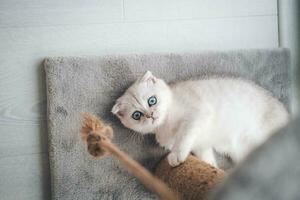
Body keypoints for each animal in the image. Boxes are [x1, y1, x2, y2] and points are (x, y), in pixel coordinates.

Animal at [111, 71, 290, 168]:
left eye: (152, 100)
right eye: (136, 115)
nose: (151, 115)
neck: (166, 124)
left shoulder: (197, 114)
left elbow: (183, 137)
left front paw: (176, 156)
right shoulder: (200, 144)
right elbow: (205, 157)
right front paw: (212, 169)